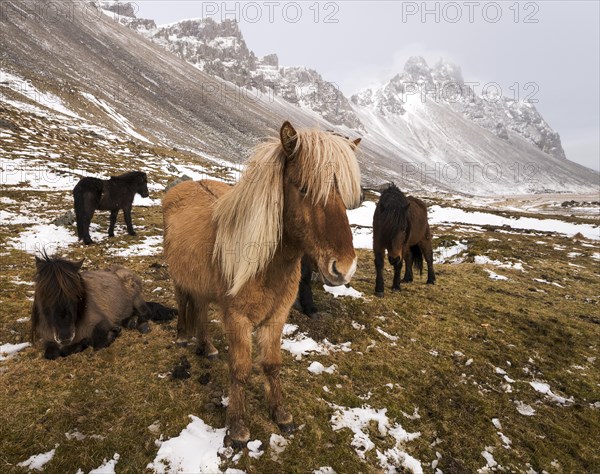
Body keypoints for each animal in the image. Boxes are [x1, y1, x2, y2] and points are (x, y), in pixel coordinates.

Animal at [162, 120, 364, 446]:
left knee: (202, 311)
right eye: (304, 188)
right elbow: (240, 369)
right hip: (179, 277)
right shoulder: (237, 319)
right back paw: (183, 336)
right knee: (183, 301)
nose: (344, 268)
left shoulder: (276, 317)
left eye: (343, 195)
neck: (265, 266)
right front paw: (237, 426)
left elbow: (272, 364)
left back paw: (208, 347)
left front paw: (281, 414)